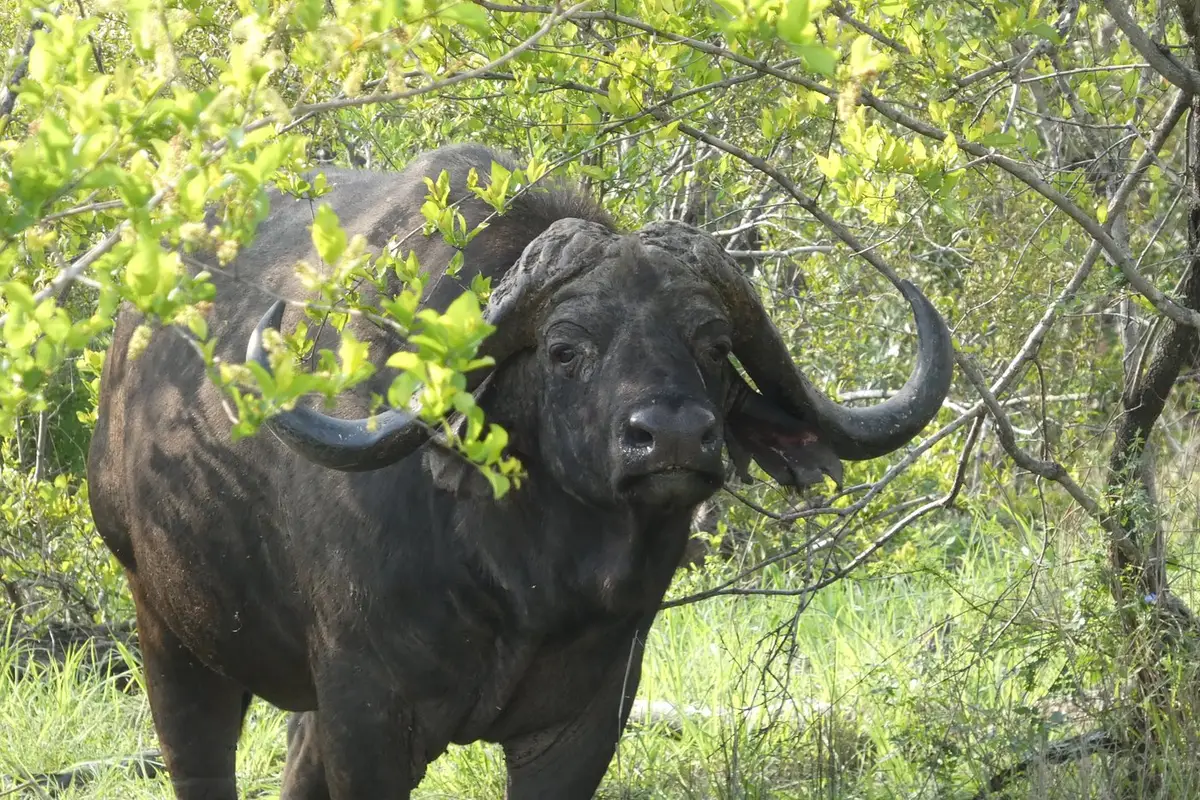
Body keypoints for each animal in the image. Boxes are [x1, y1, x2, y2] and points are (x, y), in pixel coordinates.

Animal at [87, 140, 955, 796]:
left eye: (712, 344)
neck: (520, 574)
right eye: (566, 349)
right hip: (170, 635)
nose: (673, 437)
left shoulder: (586, 719)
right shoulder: (368, 715)